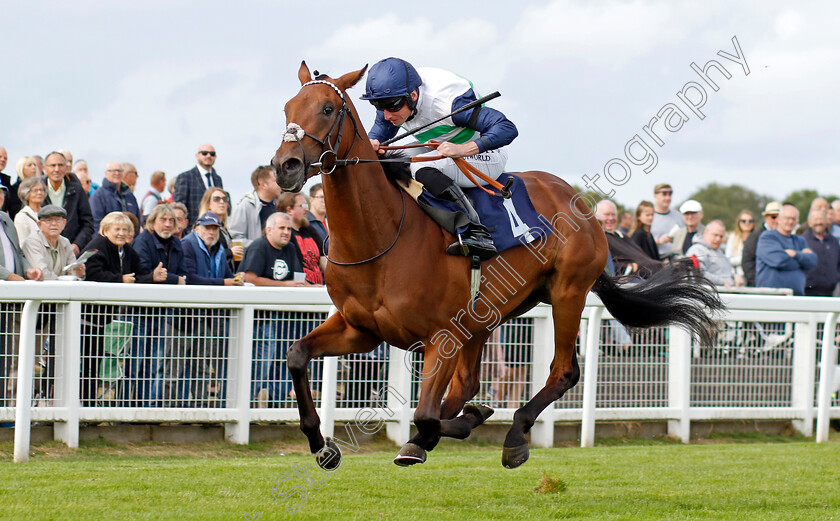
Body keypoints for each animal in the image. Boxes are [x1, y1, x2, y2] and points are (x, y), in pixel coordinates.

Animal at [270, 63, 720, 470]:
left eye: (328, 108)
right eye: (287, 107)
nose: (285, 165)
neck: (380, 237)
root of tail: (580, 203)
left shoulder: (441, 336)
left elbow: (426, 414)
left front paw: (458, 424)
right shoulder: (360, 329)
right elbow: (296, 355)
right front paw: (322, 444)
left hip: (567, 292)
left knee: (561, 372)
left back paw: (512, 434)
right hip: (487, 314)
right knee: (467, 384)